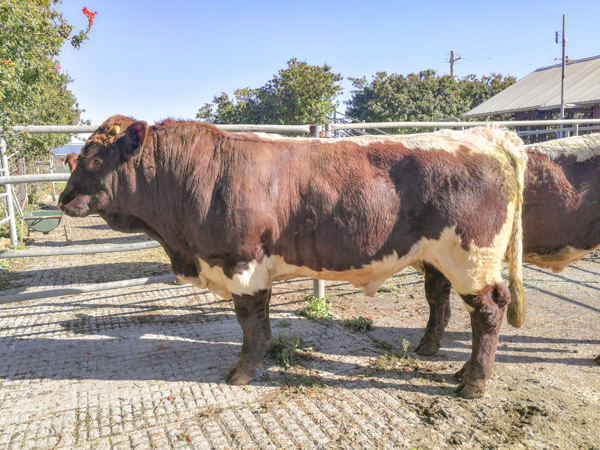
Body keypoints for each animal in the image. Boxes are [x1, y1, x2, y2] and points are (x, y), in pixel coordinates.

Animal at [57, 116, 524, 398]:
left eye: (95, 157)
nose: (63, 199)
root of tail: (484, 136)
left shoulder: (242, 265)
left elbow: (251, 325)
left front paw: (242, 373)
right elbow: (258, 324)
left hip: (471, 259)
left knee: (488, 311)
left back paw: (473, 382)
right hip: (439, 258)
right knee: (440, 301)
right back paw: (440, 358)